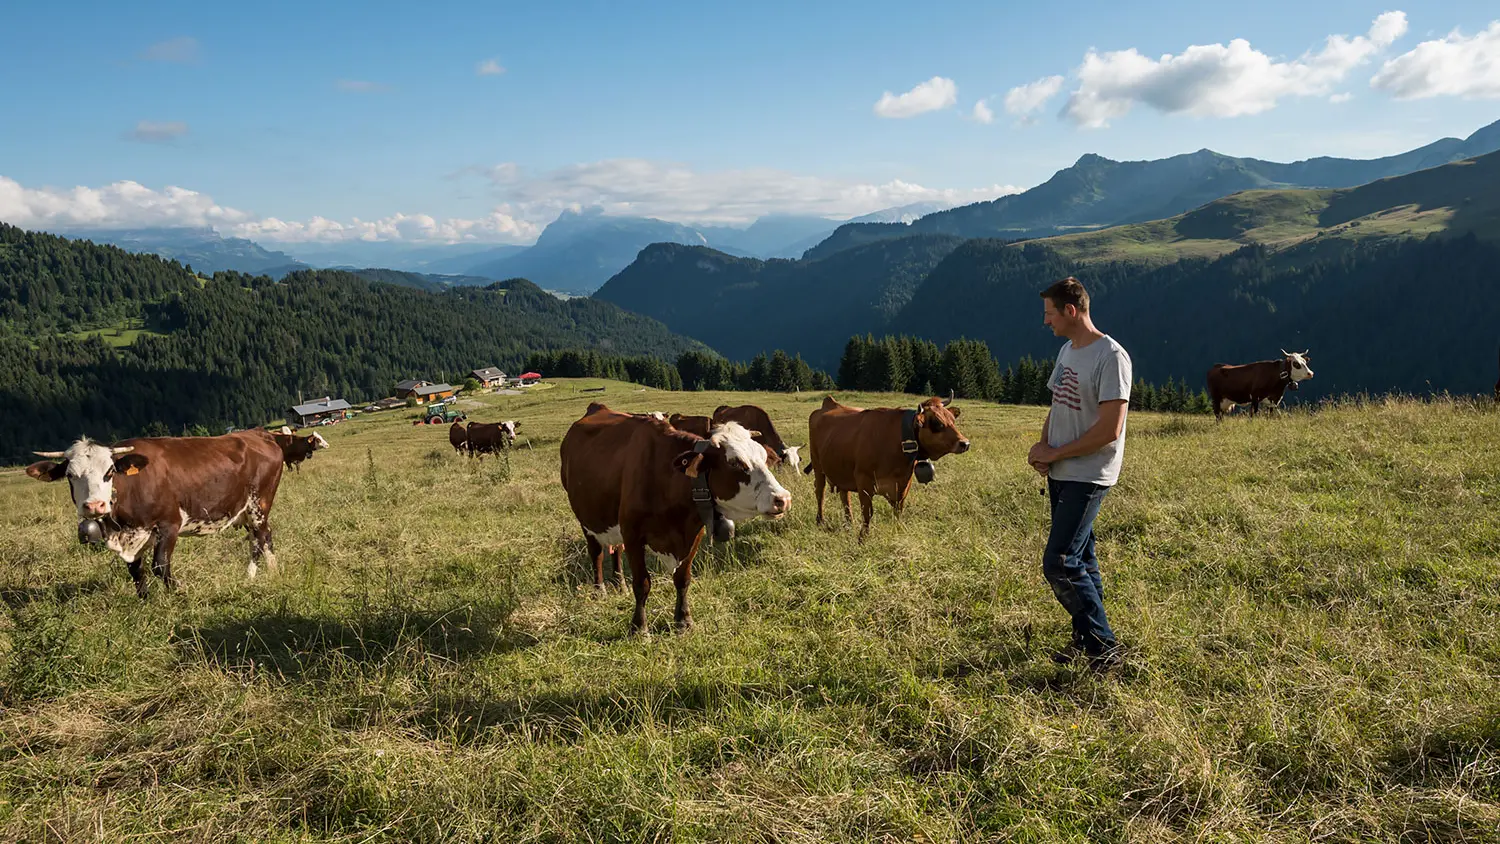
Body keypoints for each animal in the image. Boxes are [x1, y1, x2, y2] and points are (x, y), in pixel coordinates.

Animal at [25, 428, 283, 599]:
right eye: (70, 475)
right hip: (246, 510)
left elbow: (159, 565)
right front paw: (144, 600)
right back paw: (268, 572)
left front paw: (179, 592)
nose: (95, 506)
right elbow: (135, 570)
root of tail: (258, 434)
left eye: (110, 472)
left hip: (259, 504)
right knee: (264, 536)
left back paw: (255, 574)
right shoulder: (134, 535)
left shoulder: (170, 524)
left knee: (260, 538)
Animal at [561, 401, 792, 635]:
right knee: (597, 553)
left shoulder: (693, 534)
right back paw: (600, 589)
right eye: (735, 463)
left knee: (615, 548)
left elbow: (683, 579)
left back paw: (620, 584)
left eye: (764, 458)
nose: (782, 498)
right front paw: (639, 627)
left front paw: (683, 621)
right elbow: (642, 583)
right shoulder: (633, 535)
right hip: (585, 519)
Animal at [804, 395, 966, 542]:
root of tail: (828, 403)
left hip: (842, 471)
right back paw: (820, 520)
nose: (965, 443)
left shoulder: (902, 484)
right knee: (820, 493)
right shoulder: (863, 480)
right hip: (818, 466)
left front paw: (898, 530)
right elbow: (867, 512)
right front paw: (862, 538)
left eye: (952, 420)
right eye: (937, 423)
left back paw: (849, 523)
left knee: (845, 497)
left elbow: (898, 511)